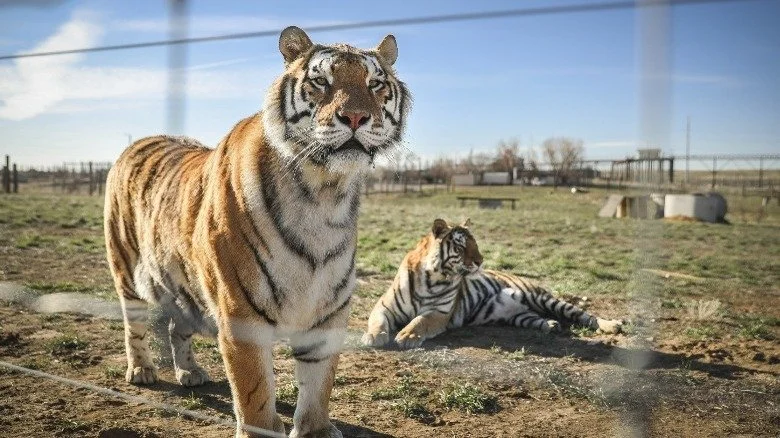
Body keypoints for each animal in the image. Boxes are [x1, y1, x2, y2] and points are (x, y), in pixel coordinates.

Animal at [104, 26, 410, 438]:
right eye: (321, 82)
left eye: (375, 84)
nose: (356, 116)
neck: (324, 192)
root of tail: (138, 140)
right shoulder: (241, 313)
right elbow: (255, 394)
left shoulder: (328, 312)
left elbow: (318, 384)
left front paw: (315, 430)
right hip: (127, 269)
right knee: (133, 323)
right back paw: (141, 370)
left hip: (186, 287)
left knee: (176, 328)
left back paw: (190, 371)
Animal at [361, 219, 623, 349]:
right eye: (461, 246)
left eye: (475, 244)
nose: (480, 261)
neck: (432, 276)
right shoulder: (384, 306)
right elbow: (377, 321)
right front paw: (373, 337)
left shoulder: (440, 313)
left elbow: (419, 321)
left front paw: (407, 336)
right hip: (520, 315)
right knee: (536, 318)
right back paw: (551, 325)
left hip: (542, 297)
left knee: (584, 315)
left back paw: (612, 326)